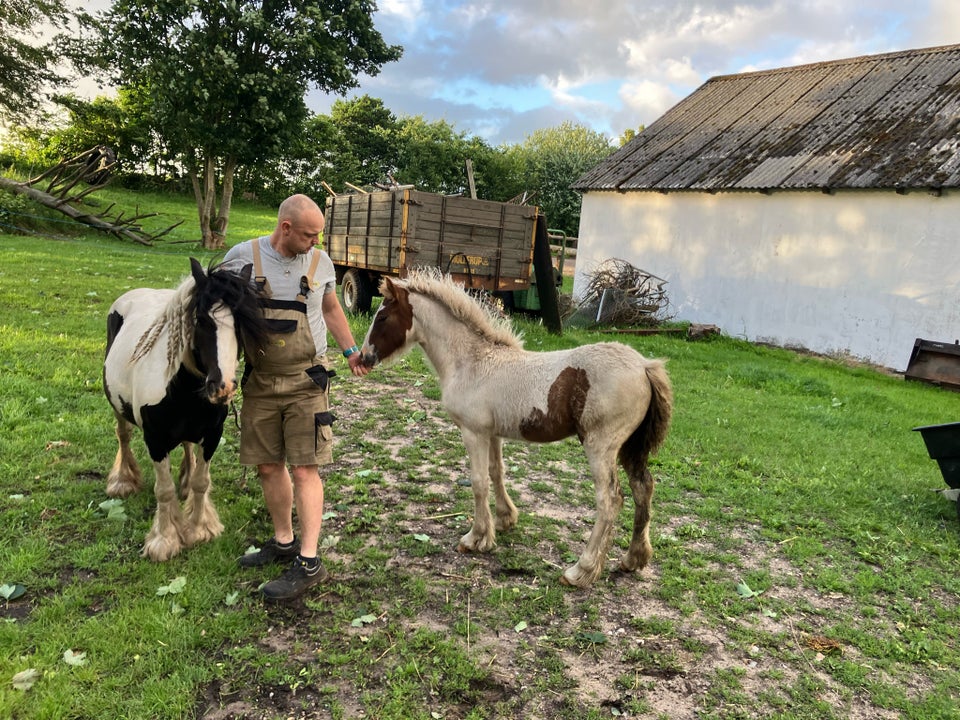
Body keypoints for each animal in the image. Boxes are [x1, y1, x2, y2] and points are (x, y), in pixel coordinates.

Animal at [103, 260, 268, 564]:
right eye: (201, 321)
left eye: (240, 323)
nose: (223, 387)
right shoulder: (155, 441)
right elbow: (163, 490)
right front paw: (164, 540)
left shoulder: (212, 435)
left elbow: (202, 482)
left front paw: (199, 529)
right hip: (117, 406)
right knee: (123, 435)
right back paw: (122, 481)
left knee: (187, 446)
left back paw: (185, 481)